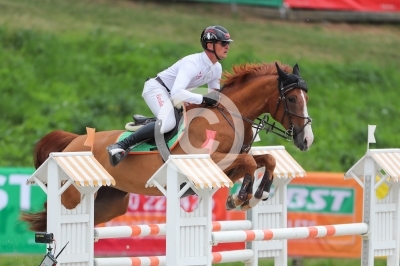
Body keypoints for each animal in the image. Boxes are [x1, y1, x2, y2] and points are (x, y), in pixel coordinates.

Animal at [20, 61, 314, 232]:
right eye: (291, 99)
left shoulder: (229, 166)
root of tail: (72, 142)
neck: (229, 117)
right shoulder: (209, 161)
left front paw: (256, 194)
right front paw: (241, 198)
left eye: (306, 98)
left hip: (109, 203)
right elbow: (252, 162)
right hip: (73, 196)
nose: (307, 140)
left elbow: (266, 160)